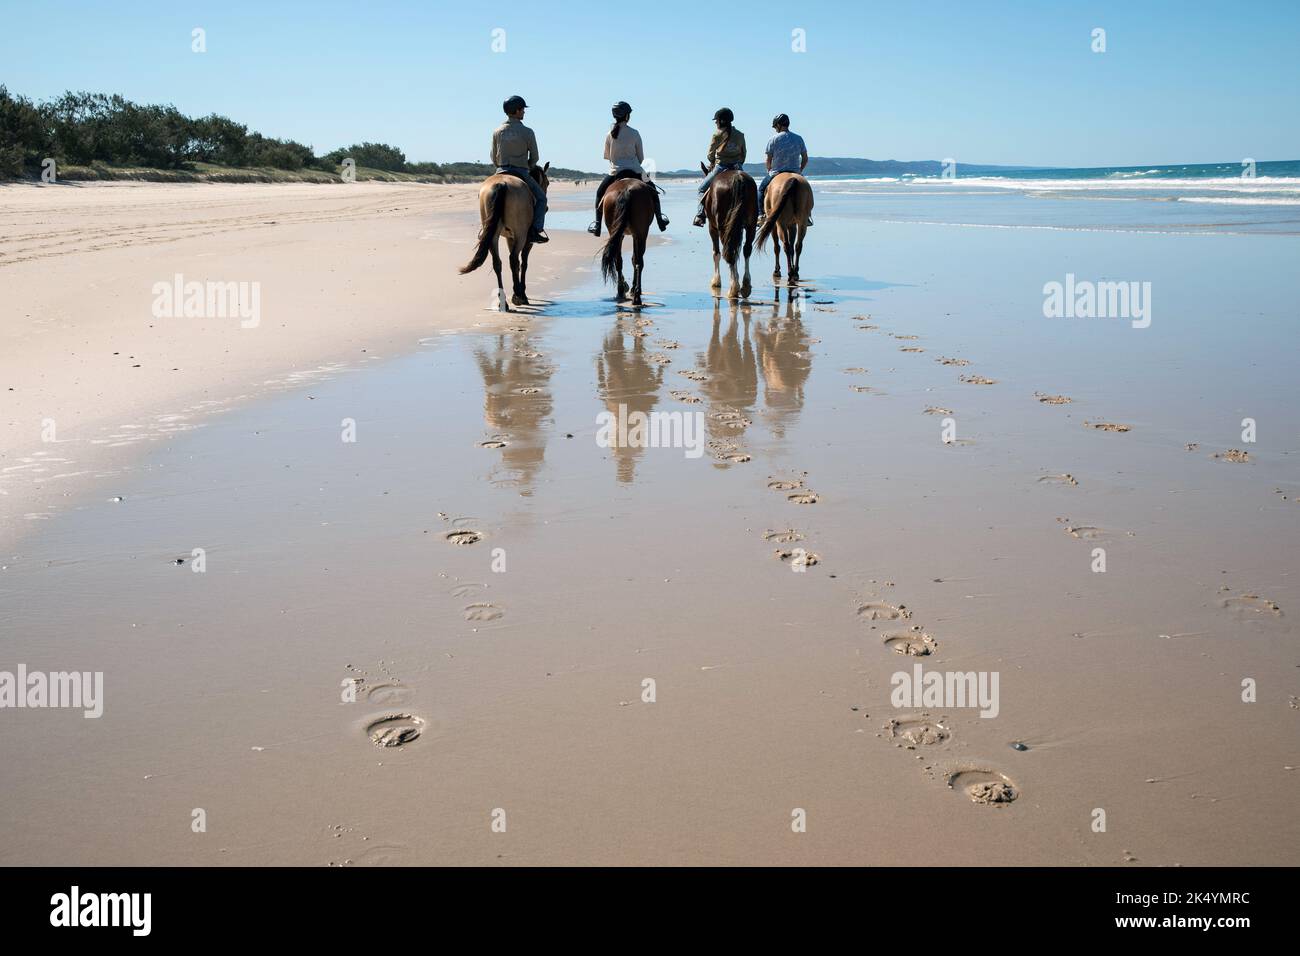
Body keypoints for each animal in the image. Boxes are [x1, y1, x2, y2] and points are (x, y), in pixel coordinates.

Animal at [462, 162, 548, 312]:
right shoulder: (526, 241)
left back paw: (504, 302)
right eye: (547, 183)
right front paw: (522, 293)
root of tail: (501, 184)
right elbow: (523, 263)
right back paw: (518, 297)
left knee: (498, 263)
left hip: (493, 235)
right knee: (513, 259)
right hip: (520, 233)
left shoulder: (509, 238)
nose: (547, 208)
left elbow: (518, 264)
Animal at [600, 175, 660, 303]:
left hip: (617, 232)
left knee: (619, 261)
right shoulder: (637, 235)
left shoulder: (625, 234)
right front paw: (631, 287)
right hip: (641, 233)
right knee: (638, 261)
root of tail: (626, 189)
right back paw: (636, 295)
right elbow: (635, 259)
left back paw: (621, 292)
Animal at [707, 162, 759, 299]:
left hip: (722, 226)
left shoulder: (712, 228)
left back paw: (733, 288)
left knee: (729, 252)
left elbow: (716, 253)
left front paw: (716, 281)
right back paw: (745, 286)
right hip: (751, 225)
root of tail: (738, 178)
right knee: (746, 250)